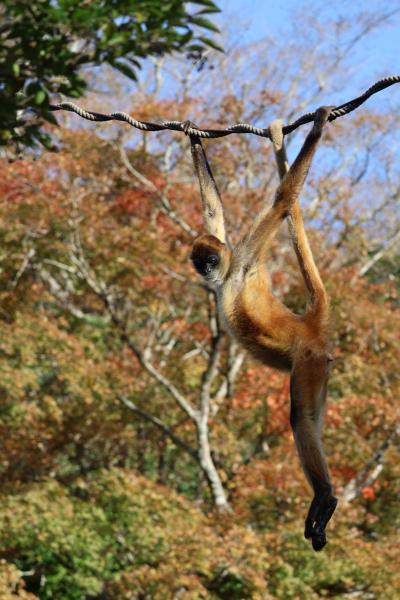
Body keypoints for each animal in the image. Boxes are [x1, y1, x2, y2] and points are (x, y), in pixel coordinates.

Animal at [184, 105, 338, 552]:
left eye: (210, 261)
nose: (206, 269)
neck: (229, 276)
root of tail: (308, 326)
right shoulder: (231, 248)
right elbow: (215, 213)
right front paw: (193, 138)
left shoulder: (246, 256)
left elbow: (283, 201)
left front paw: (319, 125)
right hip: (320, 370)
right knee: (313, 421)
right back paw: (323, 502)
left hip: (308, 361)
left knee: (301, 417)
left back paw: (326, 496)